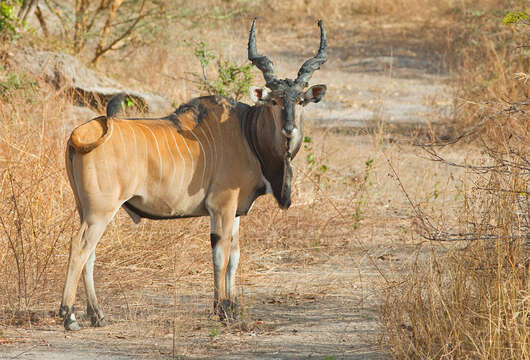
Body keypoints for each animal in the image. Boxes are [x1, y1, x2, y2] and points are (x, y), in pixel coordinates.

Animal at [58, 18, 326, 330]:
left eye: (300, 100)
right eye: (274, 101)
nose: (289, 129)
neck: (246, 131)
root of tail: (78, 135)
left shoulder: (235, 212)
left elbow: (234, 256)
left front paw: (233, 309)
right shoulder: (221, 207)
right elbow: (220, 255)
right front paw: (222, 310)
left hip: (89, 210)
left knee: (89, 254)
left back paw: (97, 315)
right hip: (99, 211)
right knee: (79, 247)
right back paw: (69, 315)